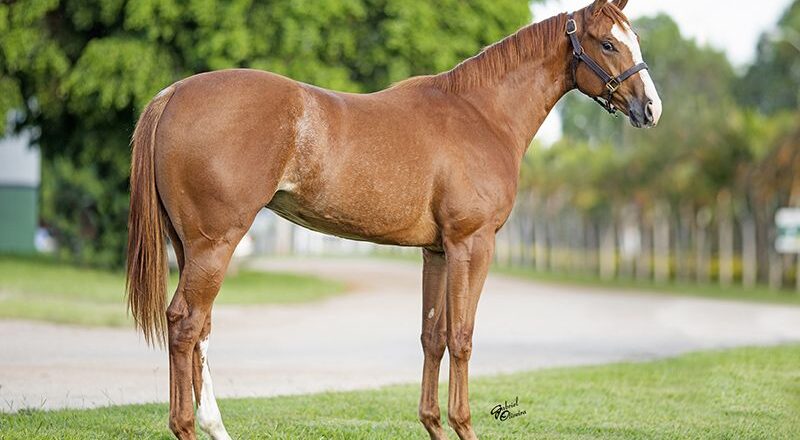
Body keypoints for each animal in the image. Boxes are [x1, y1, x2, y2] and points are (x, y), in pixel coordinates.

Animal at [126, 1, 664, 438]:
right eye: (608, 43)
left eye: (634, 37)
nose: (651, 108)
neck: (480, 114)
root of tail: (173, 93)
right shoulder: (473, 244)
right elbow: (462, 337)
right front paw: (463, 425)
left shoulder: (438, 251)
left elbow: (433, 337)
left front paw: (434, 424)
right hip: (215, 244)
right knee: (185, 325)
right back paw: (187, 426)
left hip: (190, 247)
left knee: (200, 329)